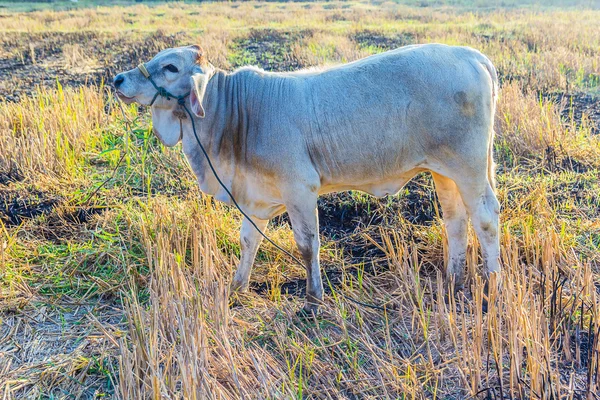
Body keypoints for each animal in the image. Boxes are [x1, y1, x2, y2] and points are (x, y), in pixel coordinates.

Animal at [113, 43, 502, 312]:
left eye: (170, 66)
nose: (118, 79)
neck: (236, 111)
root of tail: (470, 55)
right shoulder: (254, 197)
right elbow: (248, 241)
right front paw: (237, 287)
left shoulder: (299, 189)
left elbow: (307, 245)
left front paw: (313, 299)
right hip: (443, 171)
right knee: (455, 221)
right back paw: (453, 281)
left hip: (469, 167)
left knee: (485, 219)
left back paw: (492, 284)